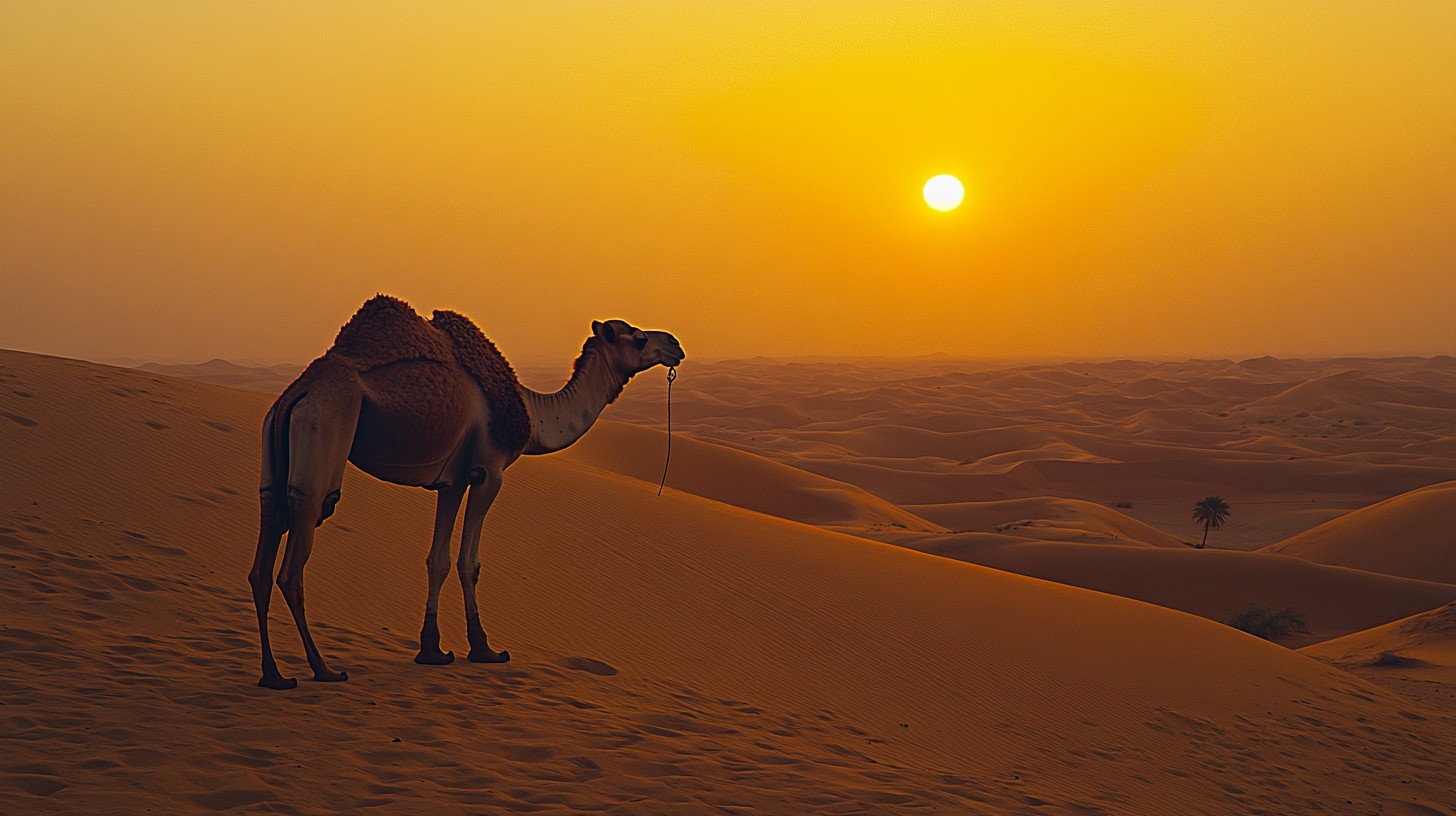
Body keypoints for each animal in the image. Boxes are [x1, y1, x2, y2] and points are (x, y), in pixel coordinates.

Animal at [248, 295, 684, 690]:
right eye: (639, 339)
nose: (676, 345)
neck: (533, 413)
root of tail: (296, 394)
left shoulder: (452, 481)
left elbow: (437, 559)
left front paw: (432, 650)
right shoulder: (489, 472)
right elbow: (468, 562)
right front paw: (484, 648)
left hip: (273, 459)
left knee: (262, 562)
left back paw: (275, 675)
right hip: (322, 439)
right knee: (294, 562)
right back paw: (323, 669)